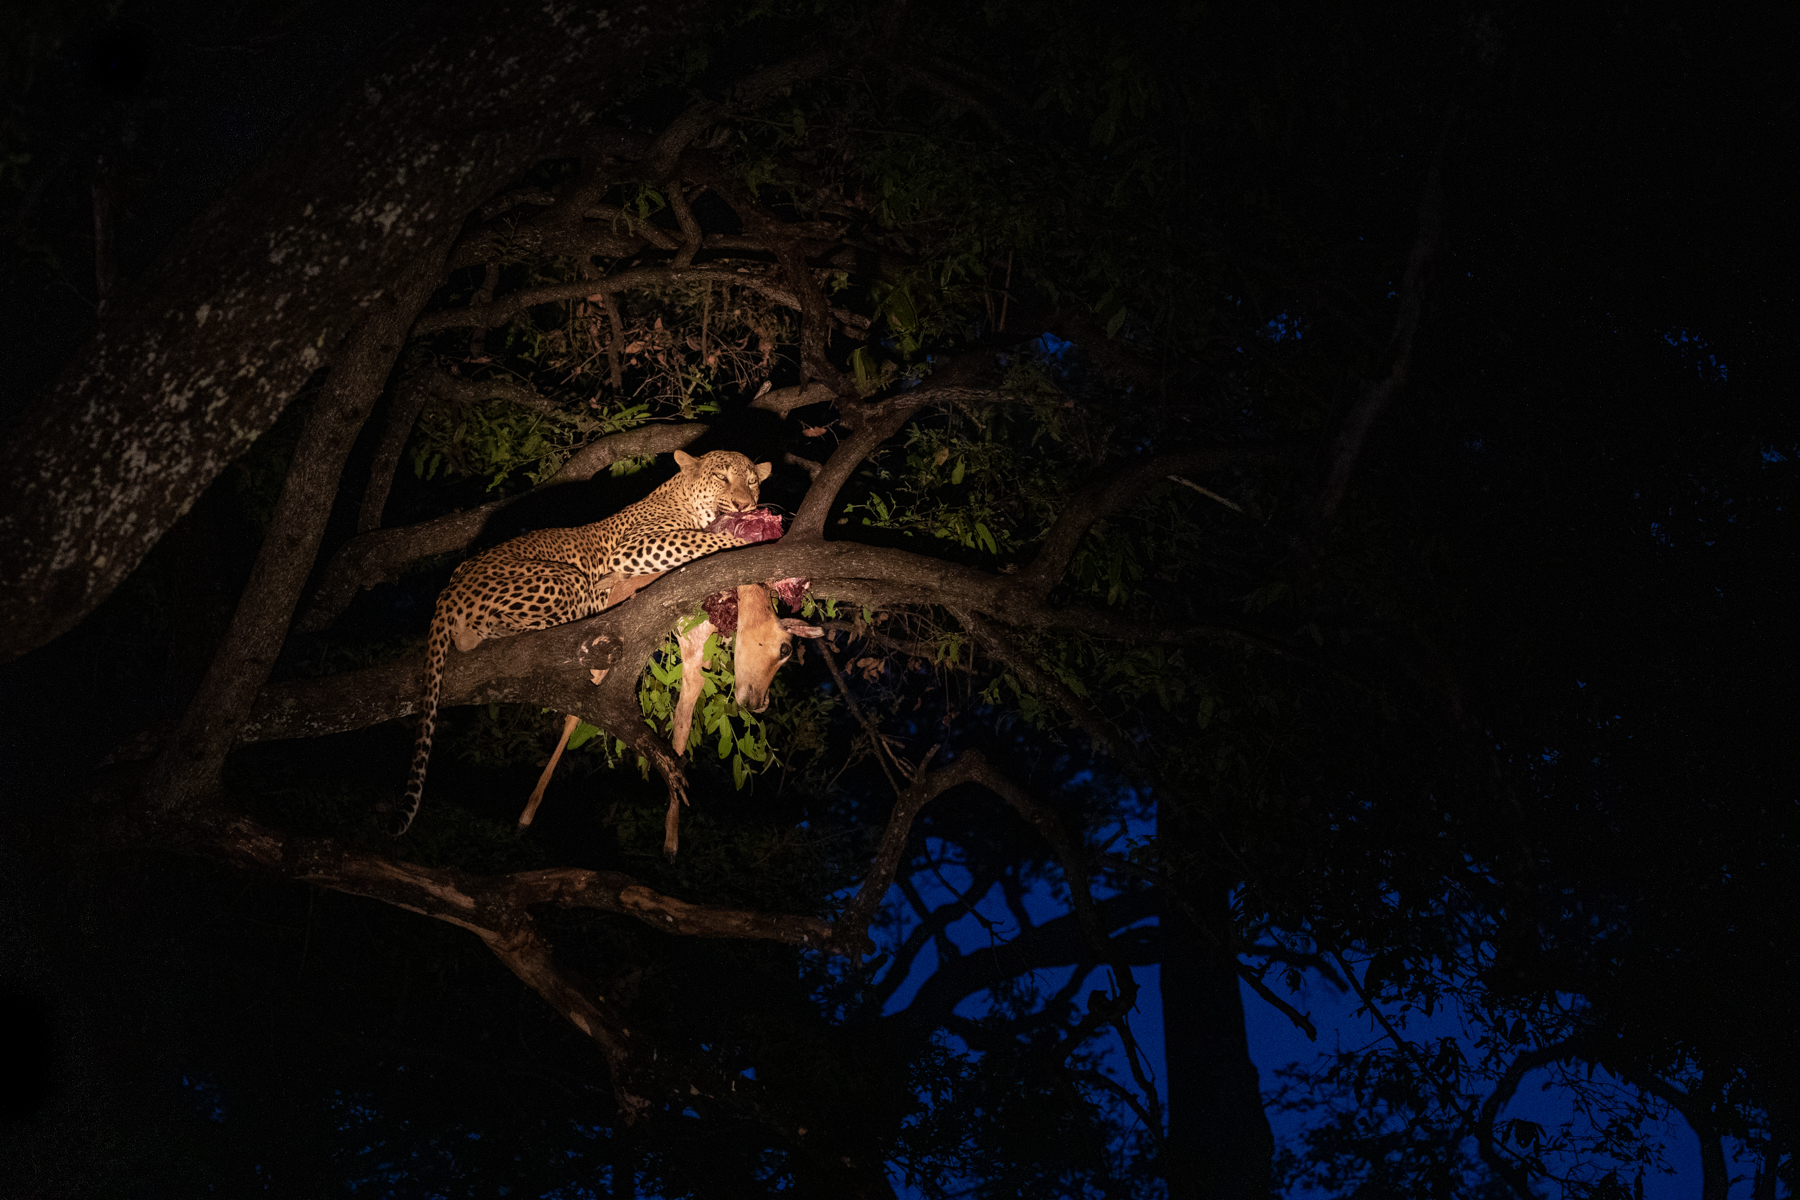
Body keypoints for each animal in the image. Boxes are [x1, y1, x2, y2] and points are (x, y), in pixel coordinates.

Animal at [393, 449, 772, 835]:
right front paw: (752, 539)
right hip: (565, 580)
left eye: (752, 482)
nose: (745, 505)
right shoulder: (635, 546)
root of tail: (449, 592)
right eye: (722, 478)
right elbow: (705, 540)